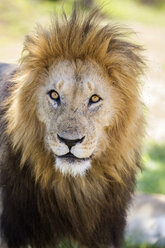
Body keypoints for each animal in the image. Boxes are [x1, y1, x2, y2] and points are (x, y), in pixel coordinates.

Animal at [0, 7, 144, 248]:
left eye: (94, 99)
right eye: (54, 95)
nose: (70, 141)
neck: (71, 187)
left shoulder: (104, 232)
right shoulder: (15, 229)